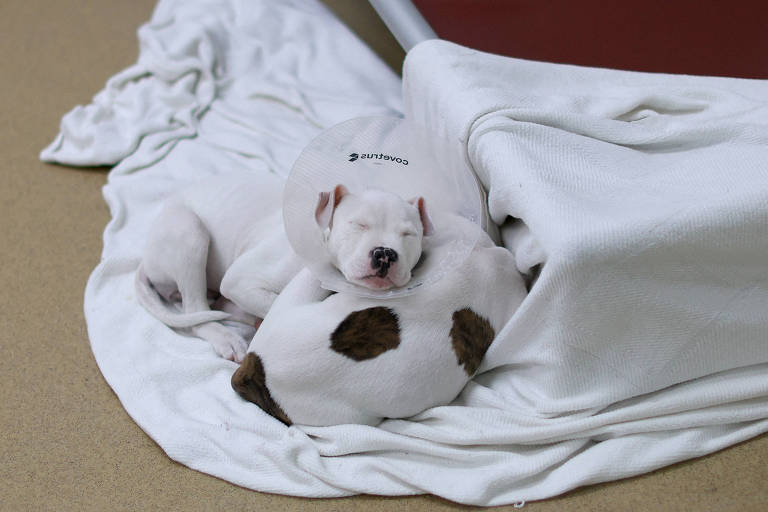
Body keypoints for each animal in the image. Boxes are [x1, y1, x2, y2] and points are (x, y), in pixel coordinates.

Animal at [134, 178, 428, 362]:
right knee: (195, 310)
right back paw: (226, 337)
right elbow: (275, 305)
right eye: (359, 225)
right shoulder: (240, 280)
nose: (385, 253)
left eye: (408, 235)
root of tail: (146, 256)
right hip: (190, 233)